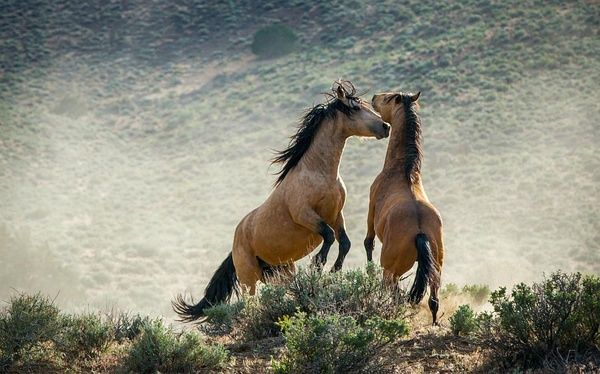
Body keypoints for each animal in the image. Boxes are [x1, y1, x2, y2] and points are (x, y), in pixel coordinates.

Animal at [171, 79, 392, 322]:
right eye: (355, 108)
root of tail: (235, 241)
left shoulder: (336, 215)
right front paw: (317, 265)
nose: (385, 127)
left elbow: (344, 242)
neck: (319, 173)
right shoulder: (305, 214)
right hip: (249, 277)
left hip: (280, 271)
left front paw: (333, 271)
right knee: (249, 301)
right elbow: (328, 236)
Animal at [364, 90, 442, 324]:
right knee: (433, 299)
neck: (402, 170)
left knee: (393, 291)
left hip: (391, 268)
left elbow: (368, 242)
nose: (374, 97)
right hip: (436, 268)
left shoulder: (371, 207)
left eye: (388, 98)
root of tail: (420, 231)